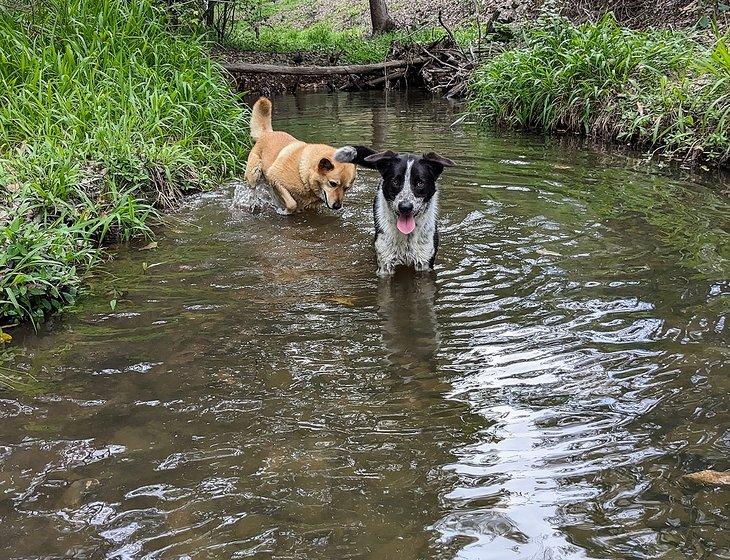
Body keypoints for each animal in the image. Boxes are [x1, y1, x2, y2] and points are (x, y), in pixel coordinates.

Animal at [336, 144, 456, 276]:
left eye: (420, 183)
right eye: (395, 181)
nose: (405, 207)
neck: (407, 236)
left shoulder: (424, 262)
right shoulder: (385, 264)